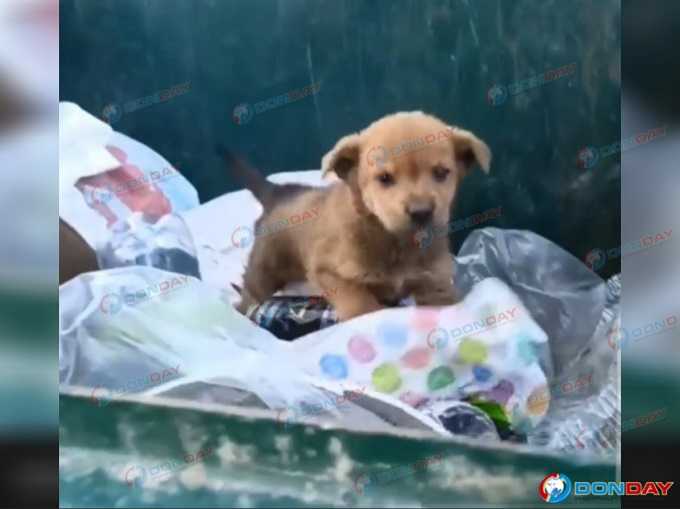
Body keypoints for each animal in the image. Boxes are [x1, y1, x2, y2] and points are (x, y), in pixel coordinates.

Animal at [231, 110, 492, 322]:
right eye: (384, 178)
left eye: (441, 173)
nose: (421, 212)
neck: (394, 241)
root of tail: (277, 192)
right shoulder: (328, 272)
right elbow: (362, 306)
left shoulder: (433, 282)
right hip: (263, 272)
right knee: (248, 296)